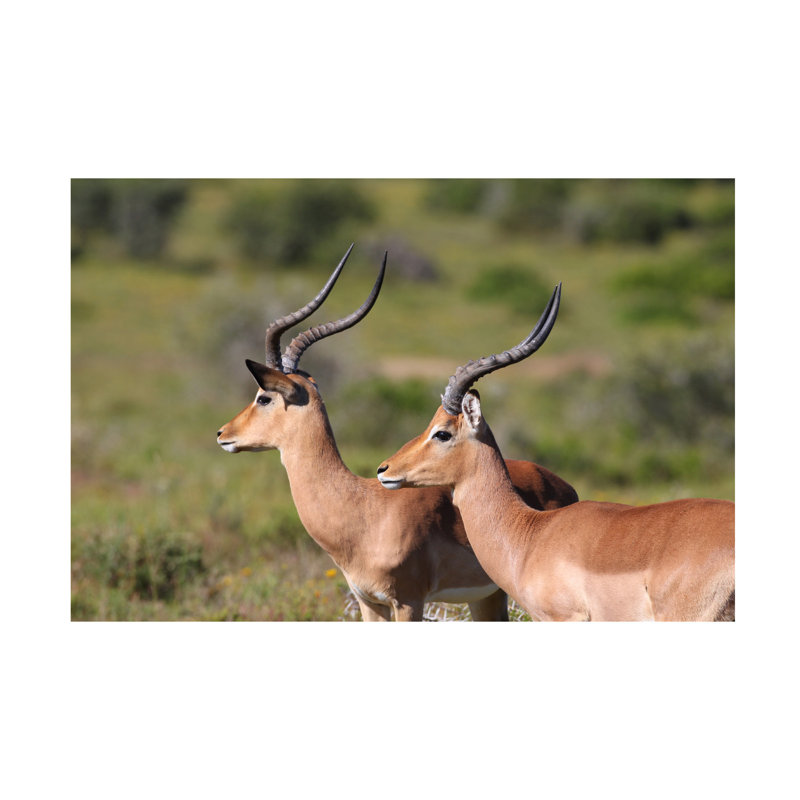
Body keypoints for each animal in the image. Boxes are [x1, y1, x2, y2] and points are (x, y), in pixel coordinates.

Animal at [216, 246, 579, 621]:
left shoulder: (407, 601)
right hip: (487, 596)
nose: (222, 433)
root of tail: (565, 488)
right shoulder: (368, 601)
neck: (363, 510)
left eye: (263, 397)